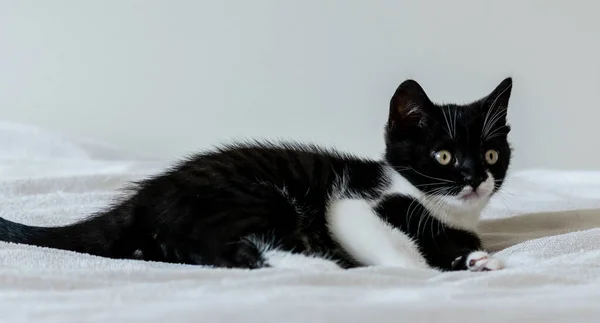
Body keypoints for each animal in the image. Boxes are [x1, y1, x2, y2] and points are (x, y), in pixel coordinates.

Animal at [1, 78, 510, 274]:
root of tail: (141, 201)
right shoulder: (351, 205)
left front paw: (473, 260)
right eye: (442, 156)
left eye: (490, 154)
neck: (436, 209)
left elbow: (462, 245)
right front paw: (422, 269)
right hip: (246, 198)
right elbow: (396, 250)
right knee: (224, 251)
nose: (474, 179)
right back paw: (323, 266)